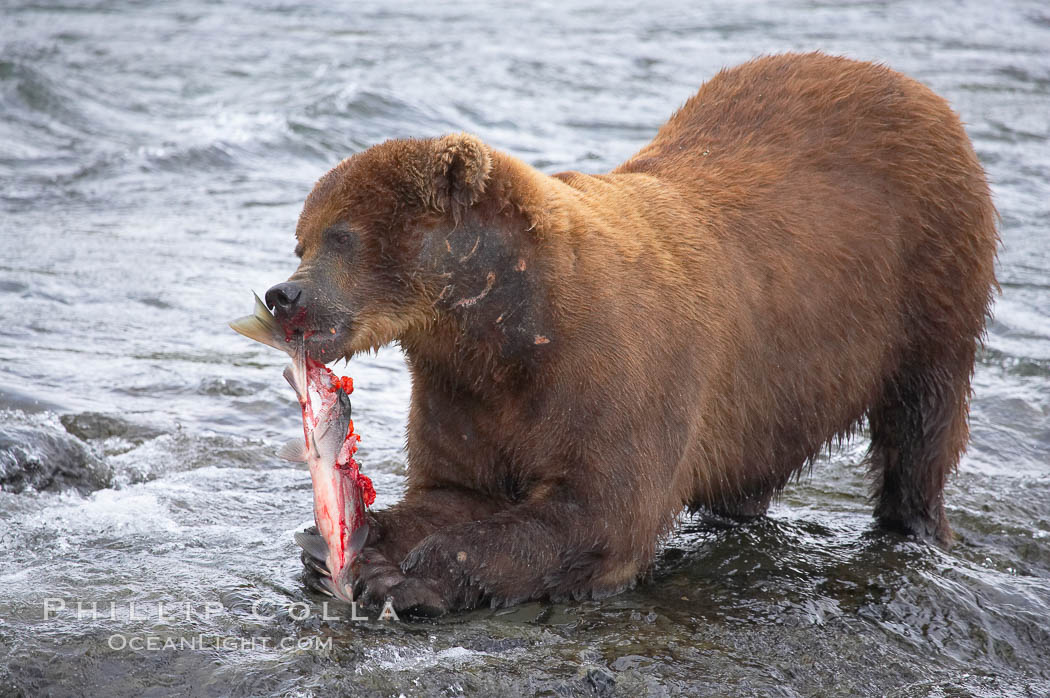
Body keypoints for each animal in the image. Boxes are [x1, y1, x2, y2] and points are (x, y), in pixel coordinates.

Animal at [264, 51, 999, 612]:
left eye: (341, 235)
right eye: (301, 236)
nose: (282, 295)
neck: (508, 331)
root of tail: (921, 91)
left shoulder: (615, 372)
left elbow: (600, 512)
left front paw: (408, 575)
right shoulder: (463, 389)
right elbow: (456, 488)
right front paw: (344, 541)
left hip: (929, 284)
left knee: (922, 424)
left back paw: (915, 528)